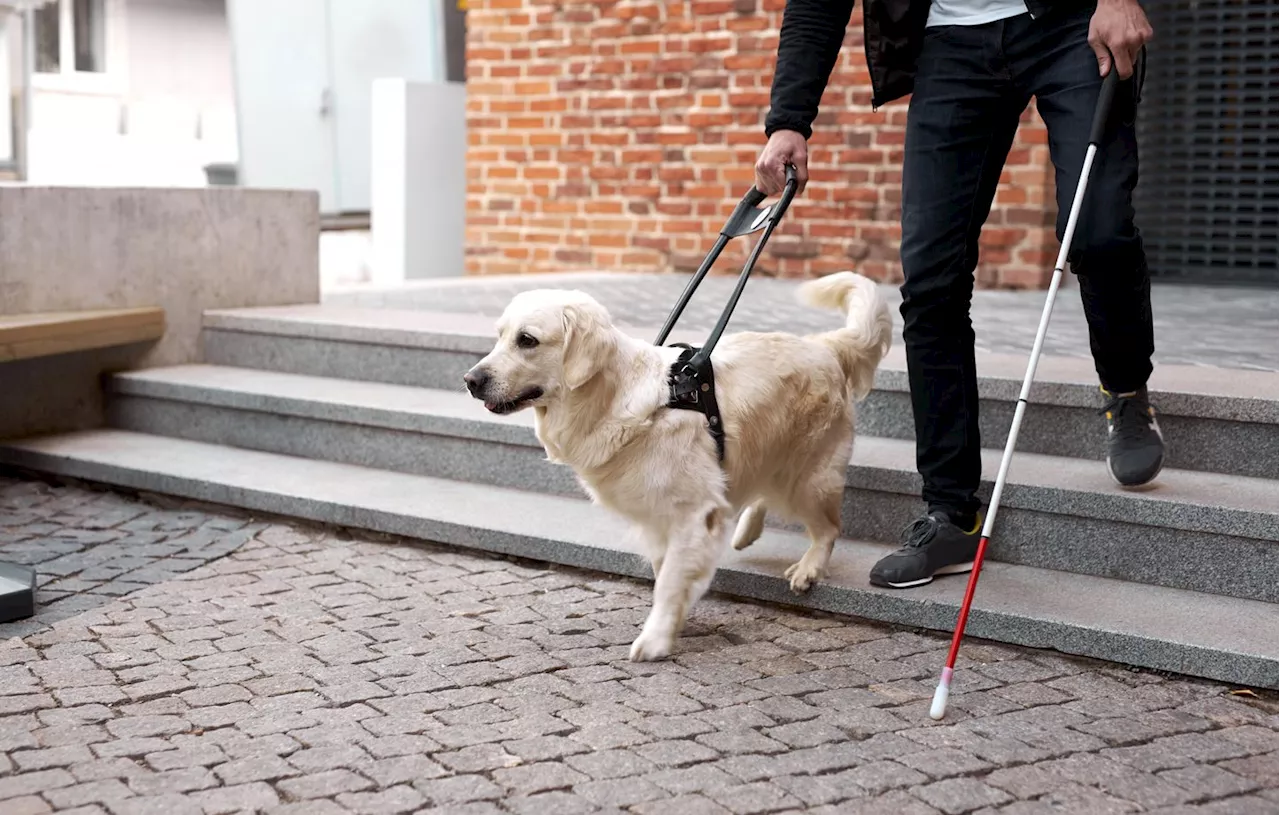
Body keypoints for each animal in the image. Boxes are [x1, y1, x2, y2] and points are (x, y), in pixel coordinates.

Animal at [465, 273, 896, 660]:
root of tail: (824, 345)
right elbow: (667, 573)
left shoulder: (693, 513)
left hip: (808, 476)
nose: (470, 379)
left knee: (828, 528)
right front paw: (674, 622)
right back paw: (746, 530)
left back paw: (809, 566)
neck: (614, 399)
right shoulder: (659, 518)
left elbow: (670, 581)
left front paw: (656, 639)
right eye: (500, 335)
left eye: (527, 340)